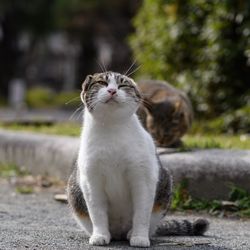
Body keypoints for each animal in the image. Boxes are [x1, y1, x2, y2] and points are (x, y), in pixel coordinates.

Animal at [66, 71, 207, 247]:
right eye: (102, 83)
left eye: (122, 85)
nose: (112, 90)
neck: (112, 128)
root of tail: (119, 233)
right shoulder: (91, 181)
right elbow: (97, 213)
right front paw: (100, 235)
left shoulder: (143, 177)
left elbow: (142, 213)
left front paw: (139, 237)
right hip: (74, 192)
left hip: (164, 189)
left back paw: (132, 233)